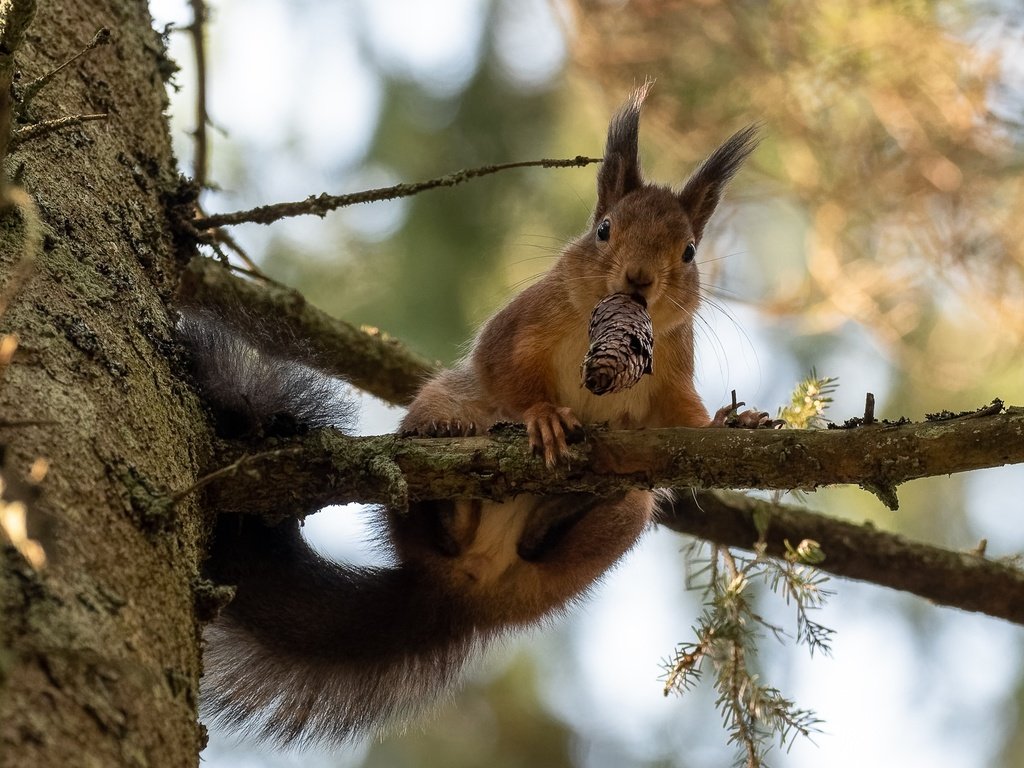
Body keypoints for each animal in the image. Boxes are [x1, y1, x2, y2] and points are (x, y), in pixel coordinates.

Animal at [182, 85, 761, 753]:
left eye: (689, 251)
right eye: (604, 230)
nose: (639, 280)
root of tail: (469, 594)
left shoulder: (670, 371)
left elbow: (684, 416)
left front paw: (731, 424)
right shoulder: (520, 327)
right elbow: (508, 374)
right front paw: (543, 416)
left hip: (625, 517)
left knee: (562, 533)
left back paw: (566, 507)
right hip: (436, 421)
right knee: (434, 511)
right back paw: (449, 473)